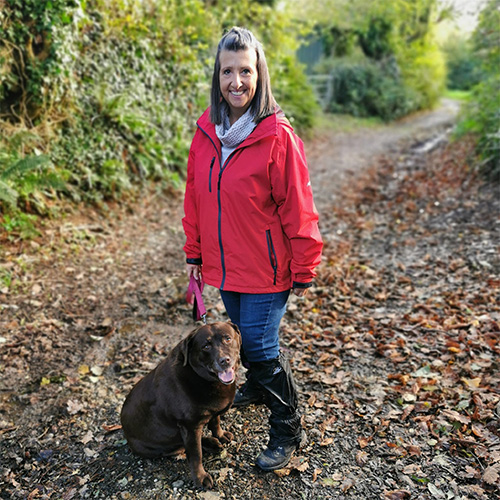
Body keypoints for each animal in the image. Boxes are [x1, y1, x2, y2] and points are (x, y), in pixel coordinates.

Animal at [119, 322, 240, 490]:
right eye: (206, 346)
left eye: (227, 338)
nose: (224, 360)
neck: (201, 377)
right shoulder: (189, 426)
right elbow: (195, 454)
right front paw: (200, 478)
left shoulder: (211, 414)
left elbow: (215, 422)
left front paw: (220, 435)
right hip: (154, 447)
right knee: (180, 446)